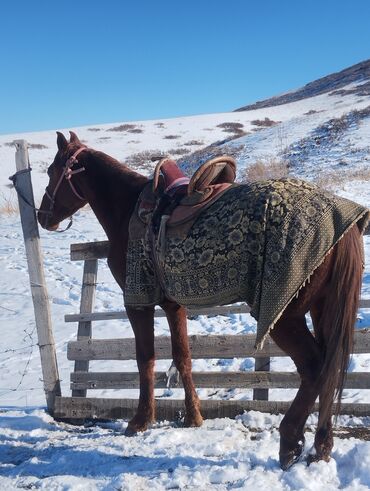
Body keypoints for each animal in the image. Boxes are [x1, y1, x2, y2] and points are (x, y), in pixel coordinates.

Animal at [37, 133, 364, 470]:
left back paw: (290, 442)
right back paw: (321, 447)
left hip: (286, 316)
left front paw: (140, 421)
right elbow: (183, 357)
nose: (41, 217)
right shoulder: (173, 305)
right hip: (322, 311)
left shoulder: (138, 301)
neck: (127, 209)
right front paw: (193, 417)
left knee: (314, 367)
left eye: (51, 171)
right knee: (331, 367)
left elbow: (145, 358)